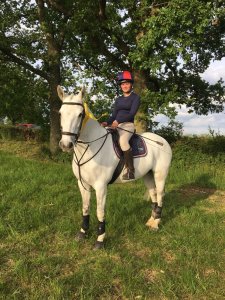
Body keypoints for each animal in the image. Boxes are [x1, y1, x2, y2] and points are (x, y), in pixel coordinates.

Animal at [57, 85, 172, 248]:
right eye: (60, 113)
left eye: (80, 114)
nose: (66, 145)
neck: (90, 146)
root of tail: (162, 141)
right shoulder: (82, 184)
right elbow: (85, 208)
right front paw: (82, 233)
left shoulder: (100, 187)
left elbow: (100, 212)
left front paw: (99, 241)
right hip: (148, 175)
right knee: (154, 195)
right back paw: (151, 221)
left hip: (160, 174)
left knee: (160, 195)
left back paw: (156, 224)